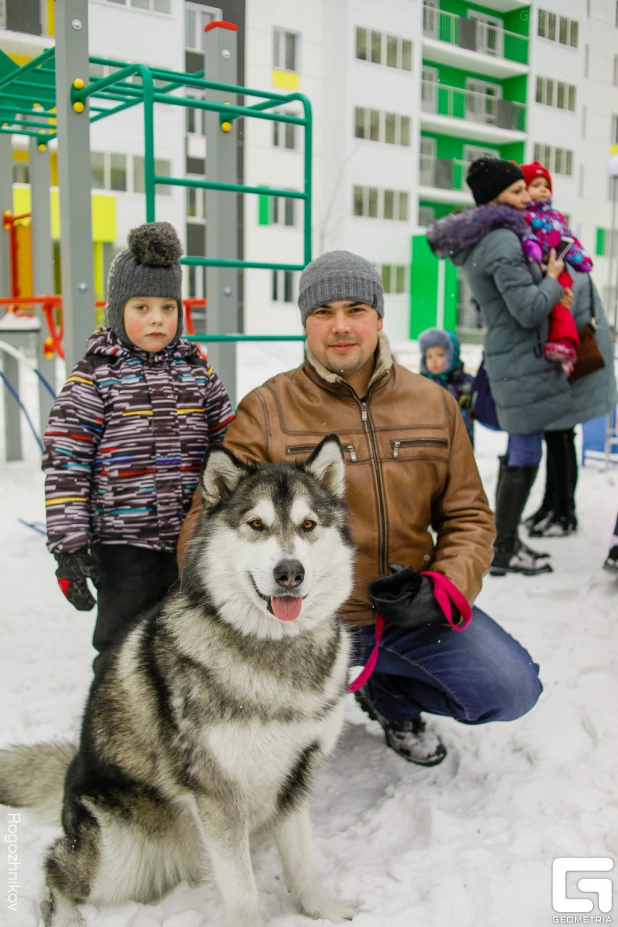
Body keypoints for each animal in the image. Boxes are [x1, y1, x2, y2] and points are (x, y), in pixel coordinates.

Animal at [0, 436, 358, 927]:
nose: (290, 572)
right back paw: (68, 917)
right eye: (256, 524)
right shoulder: (218, 795)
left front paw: (324, 912)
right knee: (55, 869)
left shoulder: (296, 779)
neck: (274, 647)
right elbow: (243, 895)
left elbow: (304, 864)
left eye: (308, 525)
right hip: (119, 854)